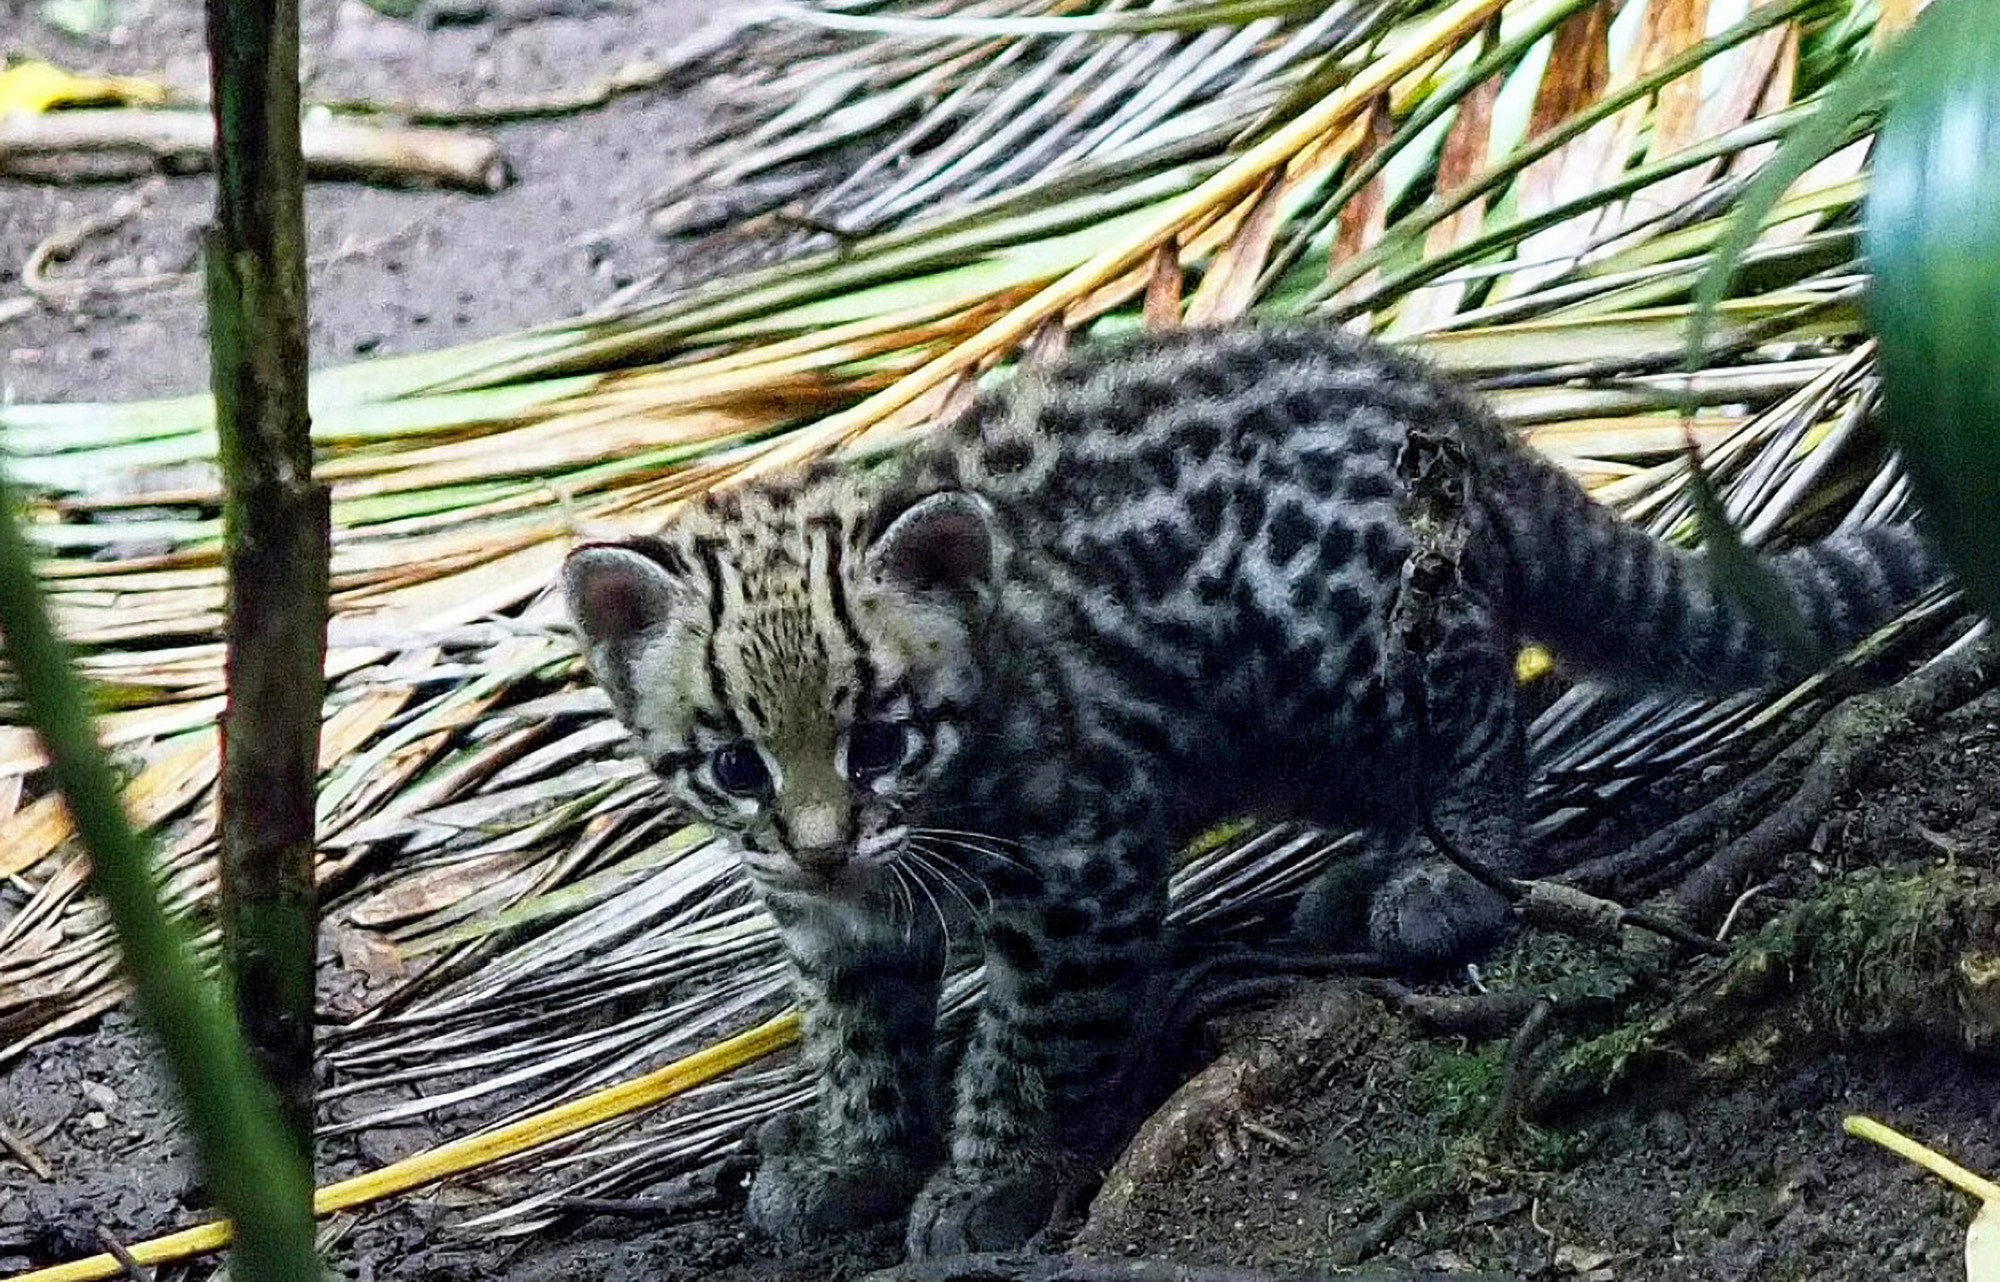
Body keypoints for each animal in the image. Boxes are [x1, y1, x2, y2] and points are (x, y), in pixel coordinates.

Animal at [560, 318, 1936, 1248]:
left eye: (881, 742)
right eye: (735, 764)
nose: (819, 841)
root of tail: (1442, 398)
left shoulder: (1086, 866)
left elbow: (1024, 1036)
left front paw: (985, 1176)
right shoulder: (833, 924)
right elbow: (854, 1036)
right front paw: (855, 1153)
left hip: (1342, 655)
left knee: (1482, 720)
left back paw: (1440, 878)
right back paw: (1358, 879)